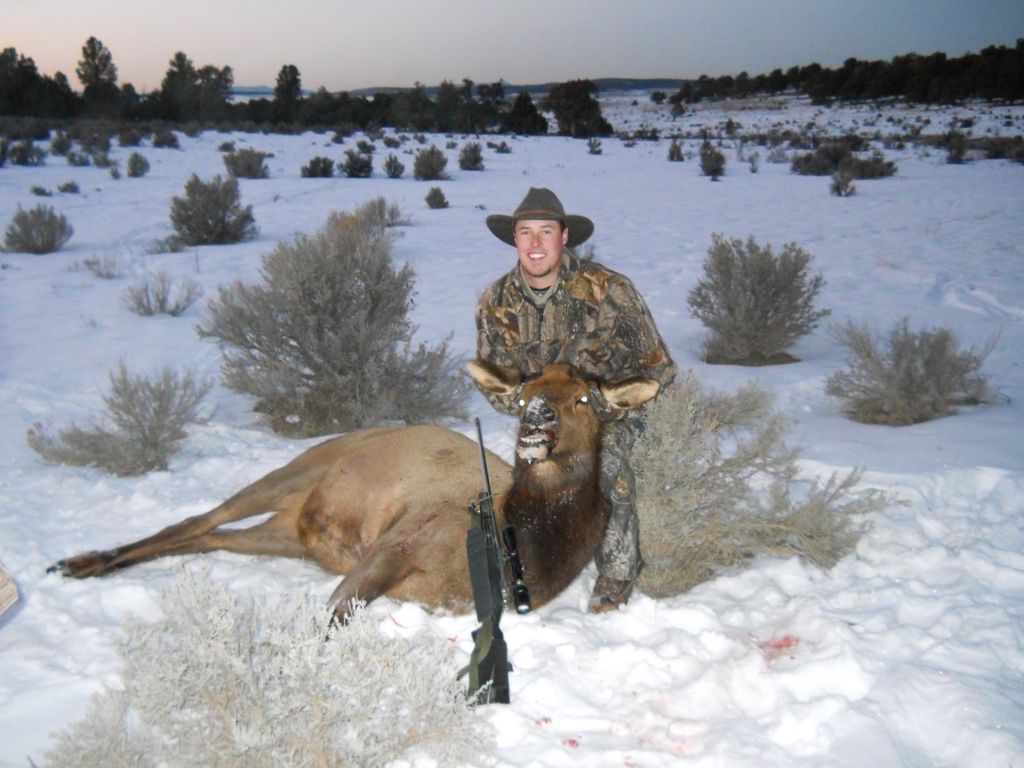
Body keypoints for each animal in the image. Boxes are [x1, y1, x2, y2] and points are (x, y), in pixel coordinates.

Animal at [48, 361, 660, 618]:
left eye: (584, 399)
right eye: (528, 391)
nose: (537, 419)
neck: (530, 546)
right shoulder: (397, 544)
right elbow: (331, 618)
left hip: (290, 535)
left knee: (211, 538)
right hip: (297, 469)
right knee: (199, 519)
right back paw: (81, 561)